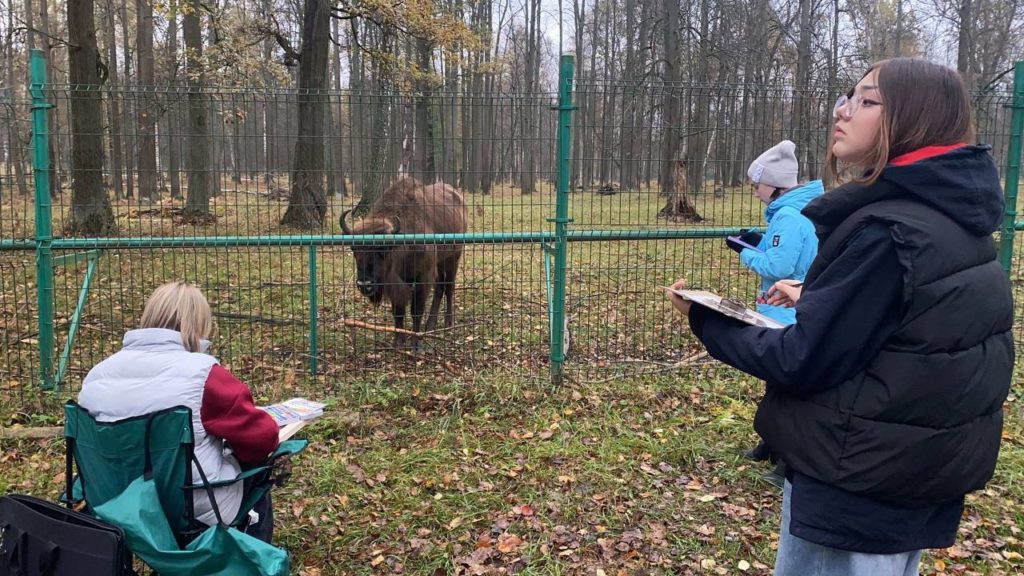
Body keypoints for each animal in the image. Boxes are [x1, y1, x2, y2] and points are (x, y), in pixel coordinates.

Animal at [339, 175, 468, 344]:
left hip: (453, 257)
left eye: (383, 249)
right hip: (440, 263)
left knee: (449, 287)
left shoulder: (423, 277)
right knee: (440, 287)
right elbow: (398, 310)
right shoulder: (399, 281)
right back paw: (430, 325)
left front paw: (415, 342)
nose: (364, 285)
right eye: (354, 249)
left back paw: (448, 322)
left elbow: (416, 310)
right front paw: (398, 342)